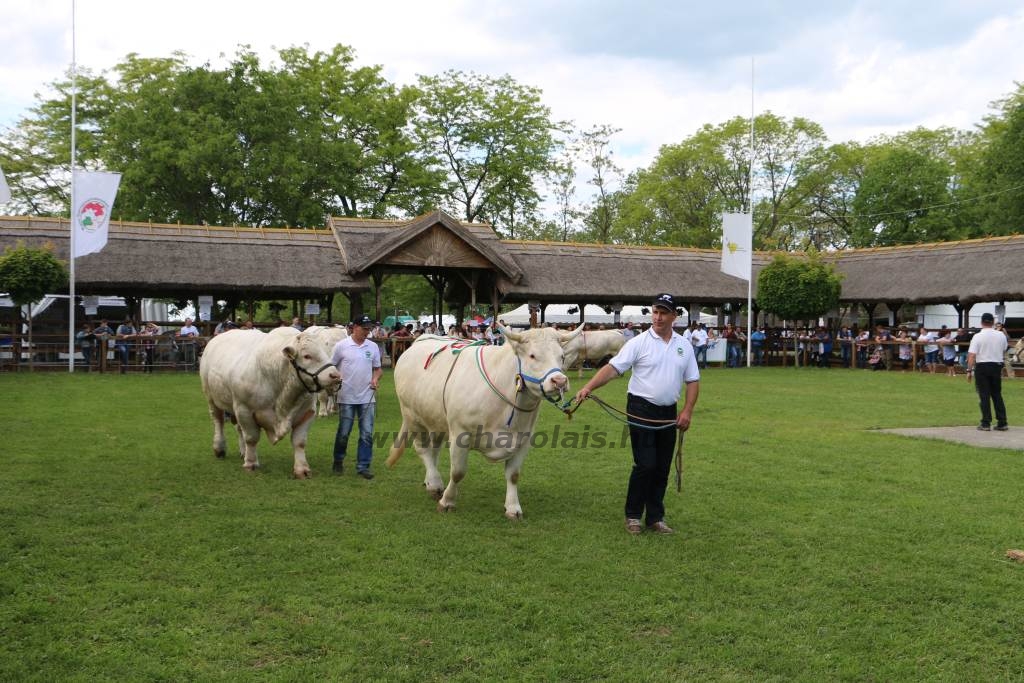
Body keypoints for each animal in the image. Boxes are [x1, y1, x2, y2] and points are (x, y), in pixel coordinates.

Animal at [198, 327, 339, 479]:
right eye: (307, 356)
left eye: (326, 351)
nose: (335, 376)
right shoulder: (244, 410)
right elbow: (251, 438)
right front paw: (251, 463)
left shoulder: (307, 412)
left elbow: (299, 442)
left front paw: (302, 469)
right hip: (211, 398)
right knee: (219, 422)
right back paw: (219, 448)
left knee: (238, 428)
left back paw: (243, 452)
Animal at [387, 325, 585, 518]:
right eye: (532, 355)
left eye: (562, 356)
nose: (559, 381)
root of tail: (420, 341)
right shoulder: (460, 433)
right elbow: (457, 472)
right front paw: (447, 502)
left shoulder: (524, 439)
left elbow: (513, 475)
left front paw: (513, 508)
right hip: (412, 416)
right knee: (423, 449)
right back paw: (435, 484)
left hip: (436, 419)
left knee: (433, 451)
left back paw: (431, 480)